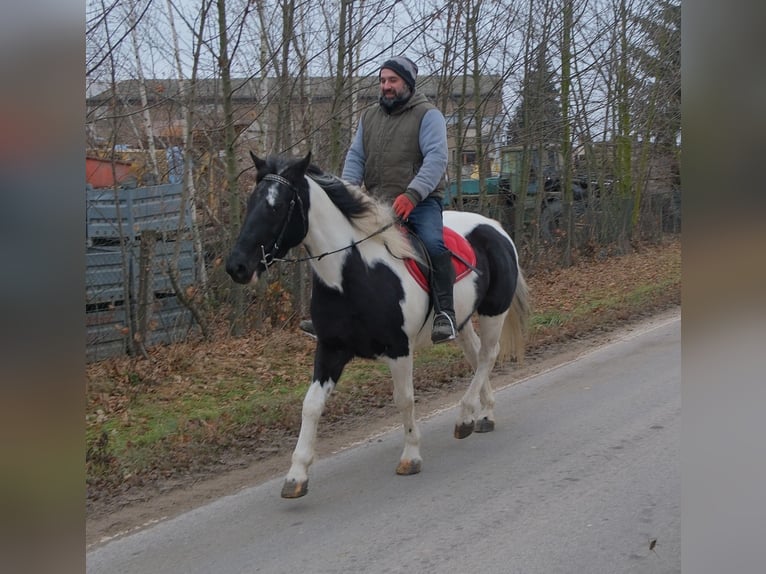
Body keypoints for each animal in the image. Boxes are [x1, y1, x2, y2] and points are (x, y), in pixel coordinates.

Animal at [226, 151, 530, 499]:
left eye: (276, 206)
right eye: (251, 202)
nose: (237, 266)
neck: (353, 274)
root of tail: (495, 227)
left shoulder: (399, 349)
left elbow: (405, 399)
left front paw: (411, 456)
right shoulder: (331, 349)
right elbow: (311, 406)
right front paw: (296, 475)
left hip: (494, 312)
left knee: (488, 356)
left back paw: (465, 415)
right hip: (462, 321)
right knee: (477, 356)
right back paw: (483, 415)